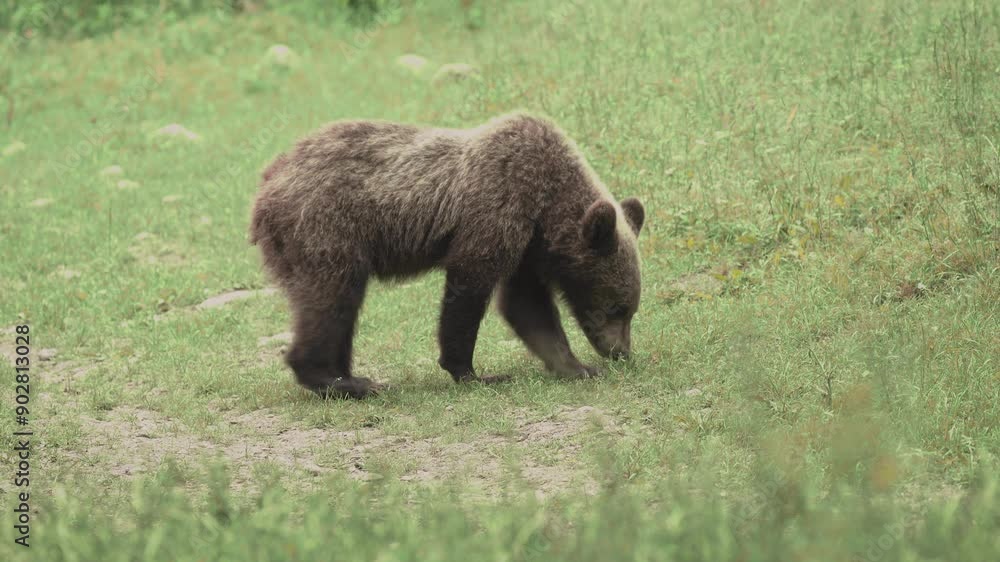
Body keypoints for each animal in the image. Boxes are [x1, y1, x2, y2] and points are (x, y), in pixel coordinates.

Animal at [248, 111, 640, 396]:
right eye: (615, 308)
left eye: (631, 309)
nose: (621, 352)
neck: (546, 206)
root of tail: (267, 184)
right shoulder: (497, 208)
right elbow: (469, 288)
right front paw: (472, 371)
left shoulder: (526, 246)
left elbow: (527, 305)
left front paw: (577, 367)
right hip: (326, 227)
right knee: (331, 297)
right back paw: (343, 382)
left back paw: (348, 374)